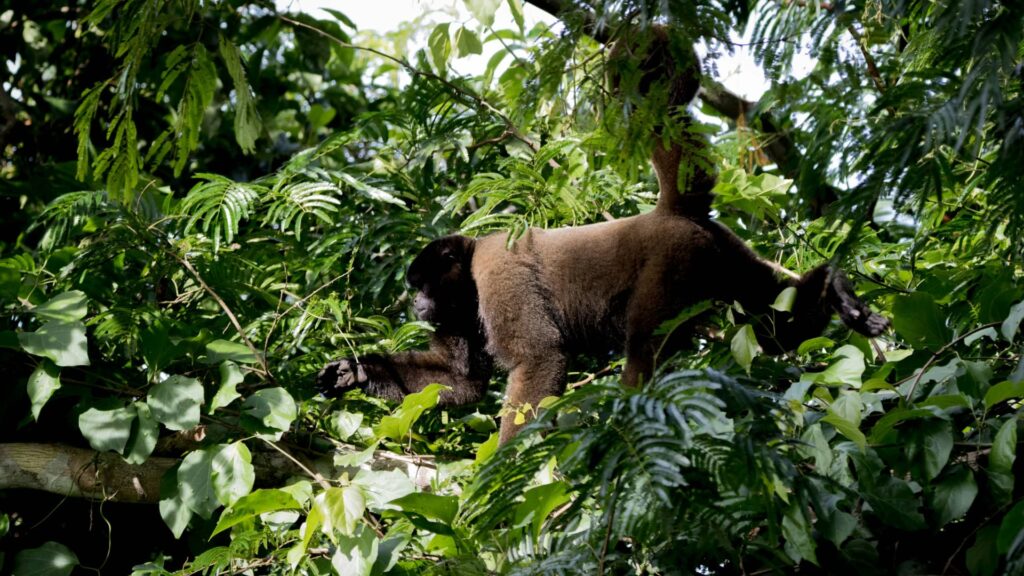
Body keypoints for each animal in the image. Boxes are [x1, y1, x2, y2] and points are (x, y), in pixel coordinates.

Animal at [318, 28, 889, 443]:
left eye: (420, 285)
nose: (414, 304)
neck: (471, 271)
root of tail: (669, 211)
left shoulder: (497, 273)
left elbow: (539, 355)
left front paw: (507, 463)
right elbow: (461, 382)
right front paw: (355, 371)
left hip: (674, 264)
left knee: (646, 345)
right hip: (722, 252)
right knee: (774, 326)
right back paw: (835, 290)